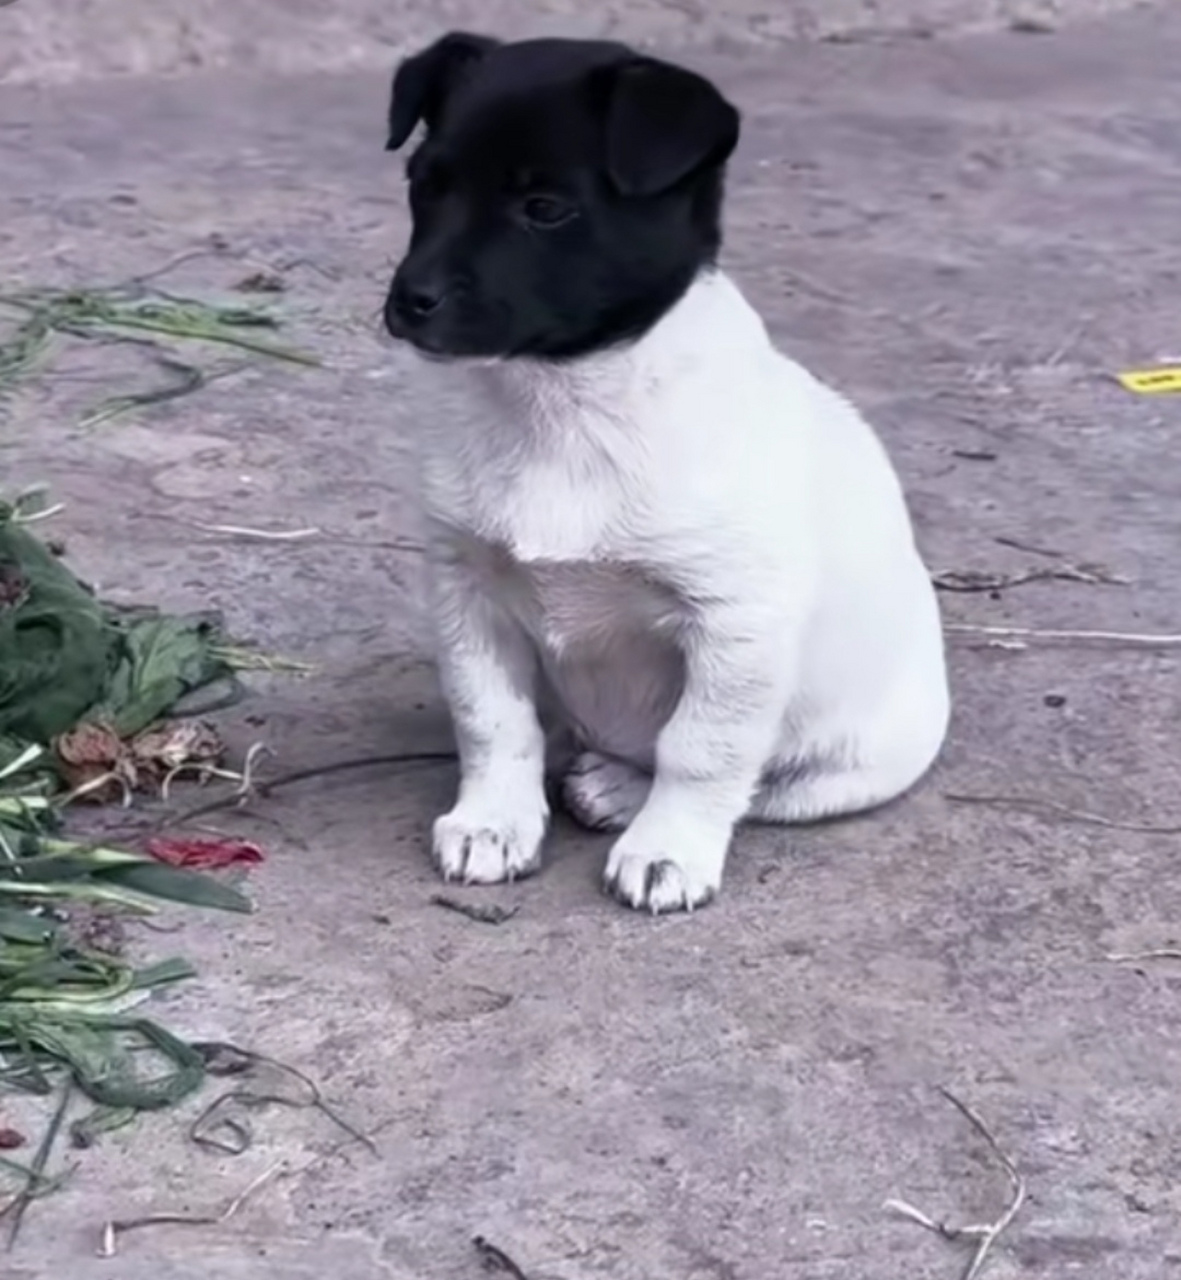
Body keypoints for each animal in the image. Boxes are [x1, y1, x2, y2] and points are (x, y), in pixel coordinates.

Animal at [383, 35, 957, 916]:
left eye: (544, 208)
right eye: (423, 183)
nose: (409, 301)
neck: (563, 401)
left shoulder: (734, 623)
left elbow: (701, 750)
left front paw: (666, 849)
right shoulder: (465, 590)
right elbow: (493, 720)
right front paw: (492, 822)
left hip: (851, 762)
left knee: (754, 780)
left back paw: (627, 795)